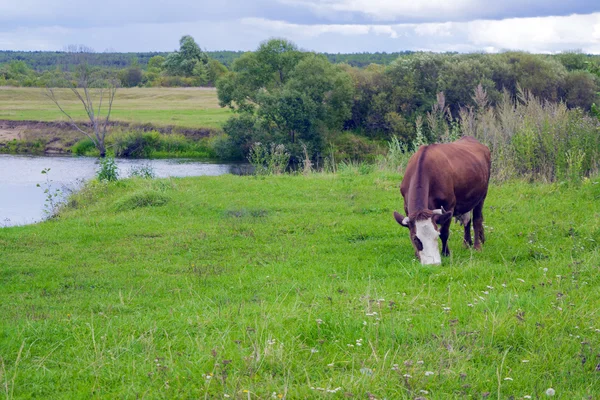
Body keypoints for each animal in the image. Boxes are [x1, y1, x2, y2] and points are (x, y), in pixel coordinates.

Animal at [394, 137, 492, 266]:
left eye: (436, 234)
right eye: (416, 238)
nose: (432, 264)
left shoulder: (449, 205)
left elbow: (445, 232)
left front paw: (446, 253)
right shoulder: (406, 206)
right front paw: (416, 254)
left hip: (482, 195)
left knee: (477, 219)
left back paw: (477, 246)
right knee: (467, 220)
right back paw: (467, 243)